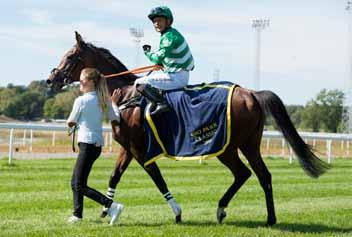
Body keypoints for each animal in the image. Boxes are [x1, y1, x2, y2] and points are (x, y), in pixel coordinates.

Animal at [47, 32, 330, 226]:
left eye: (70, 56)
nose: (51, 78)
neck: (125, 95)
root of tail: (251, 93)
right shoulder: (127, 148)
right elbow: (114, 176)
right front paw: (107, 209)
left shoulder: (141, 149)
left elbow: (157, 178)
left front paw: (177, 212)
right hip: (240, 145)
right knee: (253, 174)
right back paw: (236, 212)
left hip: (231, 145)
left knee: (254, 174)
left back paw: (256, 215)